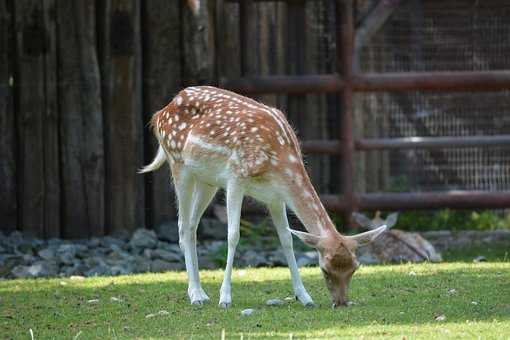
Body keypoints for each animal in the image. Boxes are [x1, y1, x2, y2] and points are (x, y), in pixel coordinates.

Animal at [139, 85, 386, 308]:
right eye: (324, 270)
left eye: (354, 268)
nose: (342, 302)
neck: (279, 161)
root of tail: (160, 112)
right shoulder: (235, 178)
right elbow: (233, 235)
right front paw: (225, 298)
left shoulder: (275, 197)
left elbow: (286, 239)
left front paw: (304, 297)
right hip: (178, 164)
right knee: (182, 227)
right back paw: (196, 296)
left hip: (207, 180)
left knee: (191, 227)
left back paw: (200, 292)